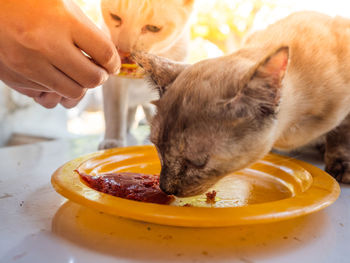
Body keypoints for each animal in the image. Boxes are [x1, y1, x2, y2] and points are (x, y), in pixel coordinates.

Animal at [133, 11, 350, 197]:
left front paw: (341, 164)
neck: (287, 134)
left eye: (198, 163)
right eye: (158, 150)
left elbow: (341, 134)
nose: (166, 189)